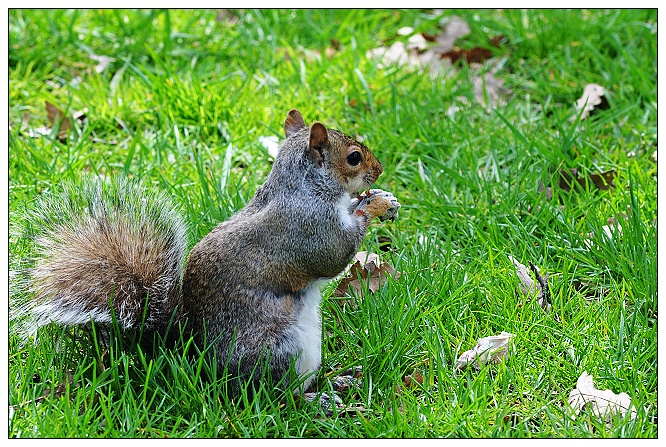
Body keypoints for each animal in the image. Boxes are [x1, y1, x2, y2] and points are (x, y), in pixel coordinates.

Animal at [13, 108, 400, 396]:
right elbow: (334, 255)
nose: (379, 170)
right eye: (354, 158)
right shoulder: (309, 229)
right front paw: (373, 206)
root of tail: (197, 362)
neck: (303, 188)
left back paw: (339, 380)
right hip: (278, 349)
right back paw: (318, 400)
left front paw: (379, 198)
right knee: (277, 396)